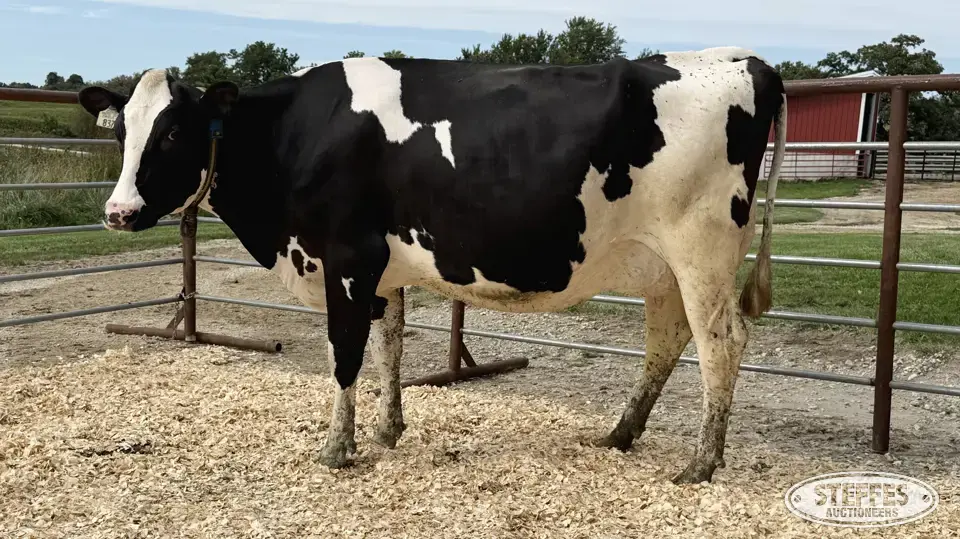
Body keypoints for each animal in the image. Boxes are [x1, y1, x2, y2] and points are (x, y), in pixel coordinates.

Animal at [78, 46, 786, 484]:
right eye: (122, 132)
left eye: (173, 132)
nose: (118, 211)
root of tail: (740, 60)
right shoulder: (381, 269)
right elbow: (389, 343)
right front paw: (388, 429)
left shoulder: (346, 257)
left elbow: (345, 352)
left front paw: (337, 448)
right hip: (661, 266)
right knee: (666, 342)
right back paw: (620, 434)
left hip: (701, 251)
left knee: (722, 344)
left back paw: (701, 464)